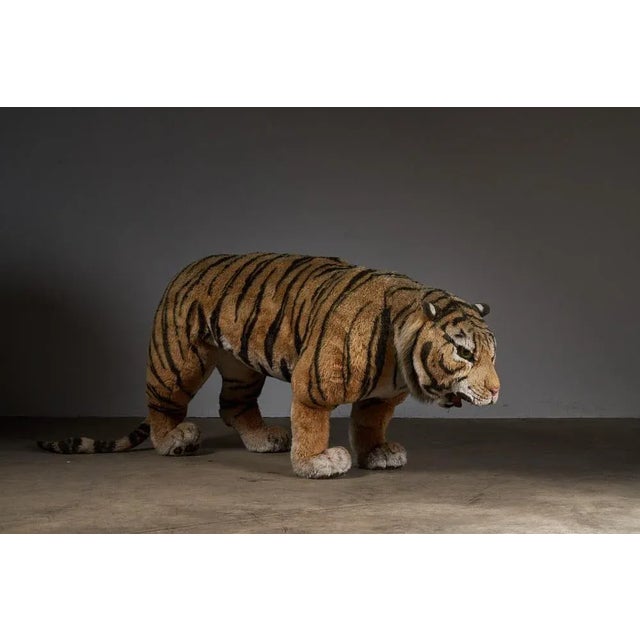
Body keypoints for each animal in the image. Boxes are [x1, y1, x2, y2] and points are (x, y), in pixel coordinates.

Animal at [38, 252, 500, 479]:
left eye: (493, 356)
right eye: (464, 353)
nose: (496, 391)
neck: (401, 361)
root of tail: (185, 269)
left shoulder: (380, 397)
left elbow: (369, 424)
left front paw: (377, 452)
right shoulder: (314, 382)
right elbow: (312, 424)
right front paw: (317, 463)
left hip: (241, 367)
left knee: (232, 405)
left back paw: (264, 438)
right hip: (179, 360)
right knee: (161, 406)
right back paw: (174, 440)